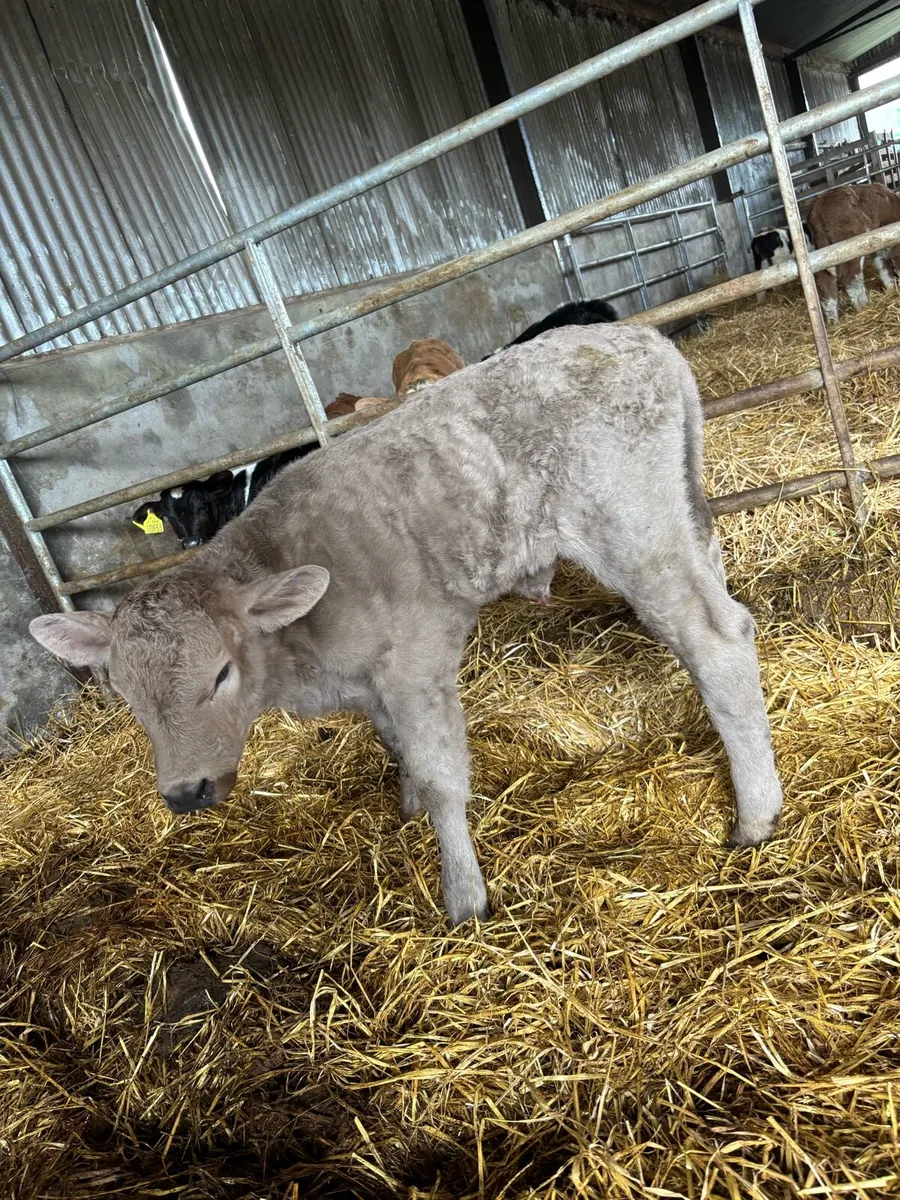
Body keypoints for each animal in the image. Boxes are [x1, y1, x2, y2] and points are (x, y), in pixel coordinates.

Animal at [32, 325, 782, 926]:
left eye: (220, 674)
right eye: (128, 696)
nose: (186, 793)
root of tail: (636, 337)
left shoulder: (416, 665)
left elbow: (443, 772)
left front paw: (464, 896)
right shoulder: (369, 687)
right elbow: (397, 749)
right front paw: (409, 807)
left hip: (632, 528)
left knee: (716, 639)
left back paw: (756, 814)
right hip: (681, 512)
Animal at [807, 182, 900, 322]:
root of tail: (818, 206)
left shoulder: (880, 250)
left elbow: (884, 269)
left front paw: (892, 289)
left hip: (823, 253)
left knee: (825, 282)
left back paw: (833, 320)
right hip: (849, 248)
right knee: (850, 277)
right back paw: (863, 306)